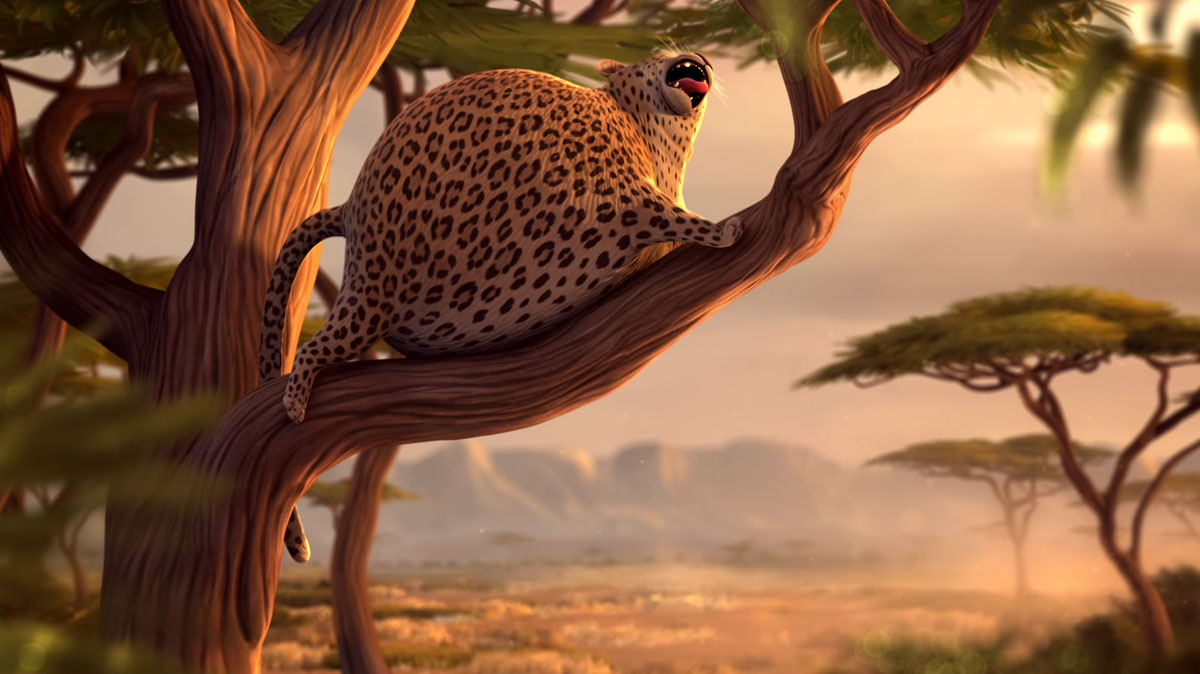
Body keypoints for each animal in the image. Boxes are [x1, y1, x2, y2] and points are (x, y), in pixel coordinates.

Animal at [261, 53, 742, 562]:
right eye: (656, 57)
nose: (699, 58)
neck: (659, 143)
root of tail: (349, 208)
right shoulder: (624, 198)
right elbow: (676, 217)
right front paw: (725, 229)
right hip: (368, 300)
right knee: (312, 350)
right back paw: (295, 404)